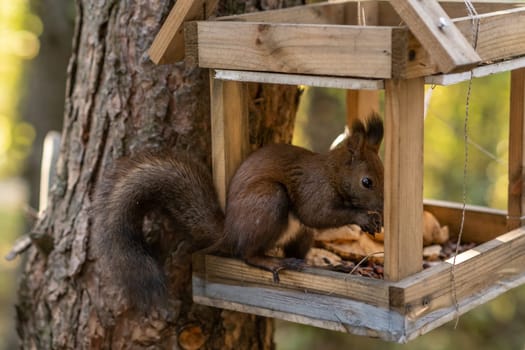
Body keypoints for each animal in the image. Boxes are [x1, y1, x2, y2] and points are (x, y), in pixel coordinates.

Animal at [92, 112, 382, 308]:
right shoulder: (313, 189)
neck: (332, 173)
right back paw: (274, 263)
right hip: (269, 202)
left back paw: (329, 266)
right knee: (247, 254)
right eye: (367, 182)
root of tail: (229, 232)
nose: (382, 206)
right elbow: (316, 214)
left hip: (300, 234)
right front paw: (363, 218)